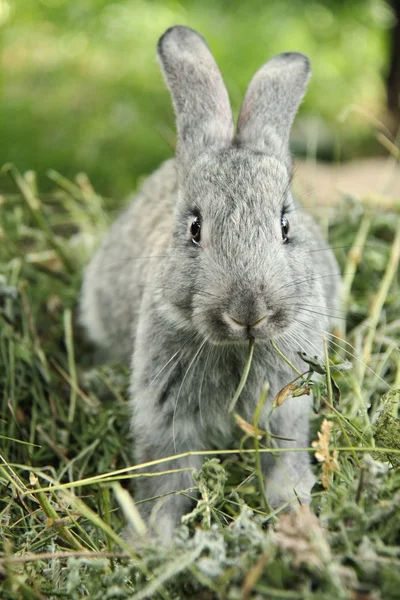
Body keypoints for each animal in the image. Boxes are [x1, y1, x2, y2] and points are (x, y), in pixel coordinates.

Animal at [80, 25, 340, 540]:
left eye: (285, 226)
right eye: (195, 228)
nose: (249, 312)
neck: (239, 349)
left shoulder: (284, 411)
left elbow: (284, 470)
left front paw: (299, 518)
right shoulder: (166, 419)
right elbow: (167, 482)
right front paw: (154, 540)